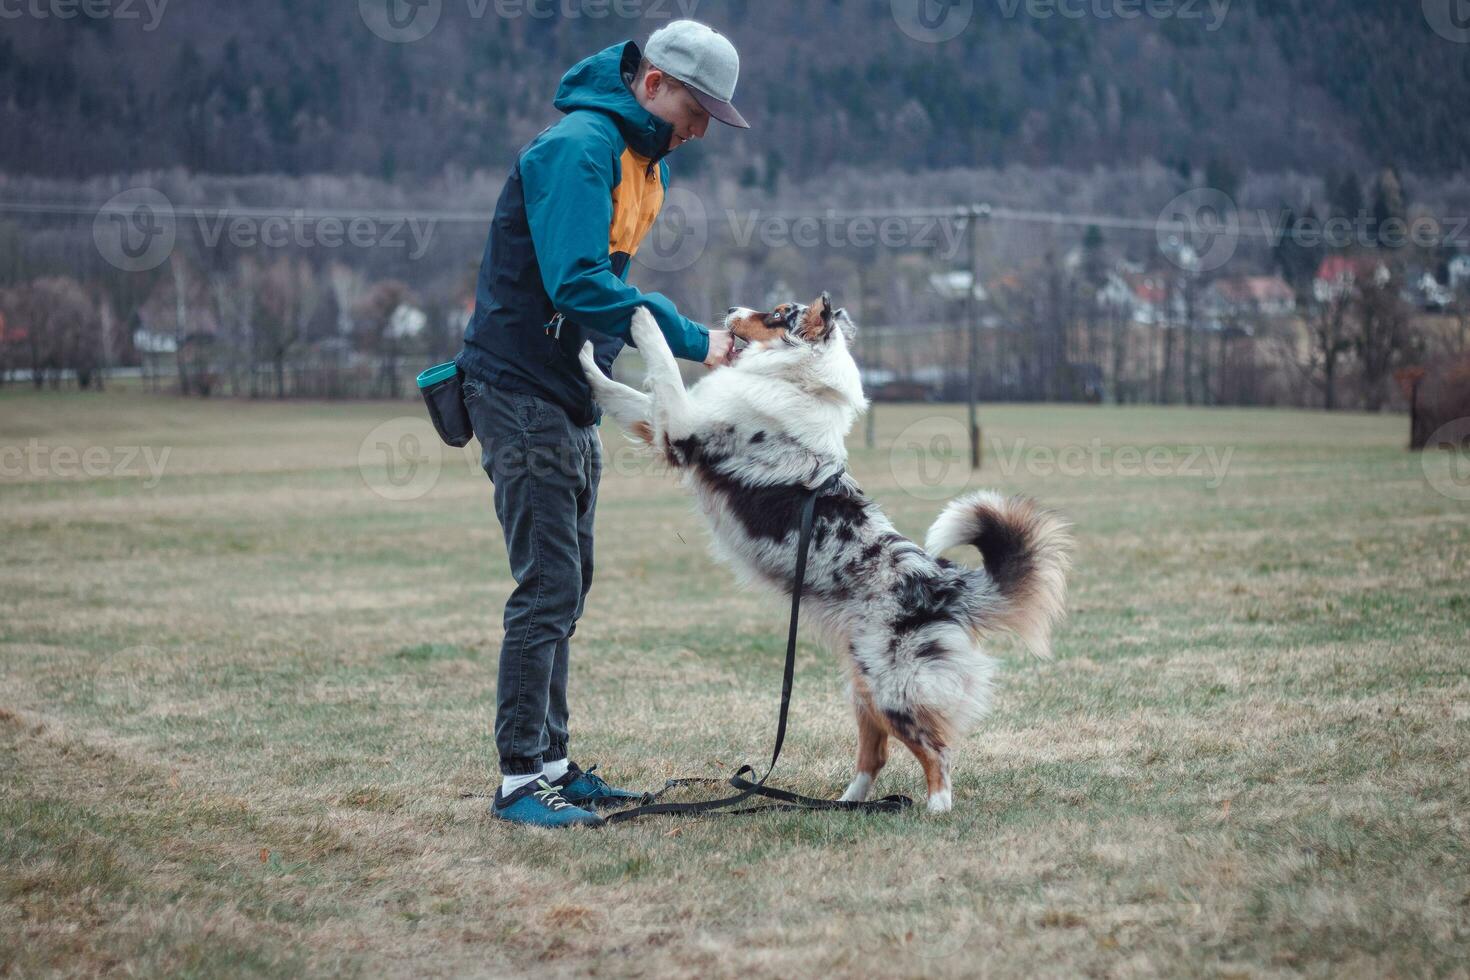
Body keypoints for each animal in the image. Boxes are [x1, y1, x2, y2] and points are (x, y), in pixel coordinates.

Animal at [579, 295, 1076, 816]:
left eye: (779, 313)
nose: (730, 308)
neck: (793, 379)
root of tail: (940, 582)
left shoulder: (684, 429)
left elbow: (663, 368)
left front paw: (641, 317)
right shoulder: (667, 424)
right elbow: (624, 394)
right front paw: (588, 357)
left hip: (895, 685)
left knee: (937, 748)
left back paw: (937, 806)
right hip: (862, 683)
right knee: (875, 755)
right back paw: (845, 804)